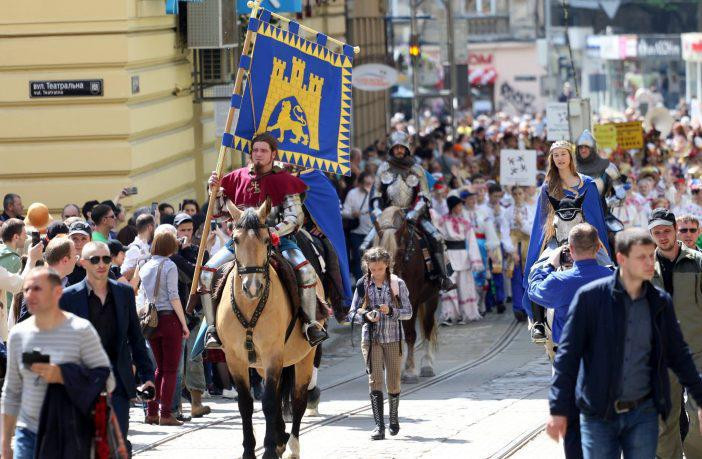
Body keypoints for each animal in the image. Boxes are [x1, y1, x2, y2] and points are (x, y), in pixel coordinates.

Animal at [219, 201, 324, 459]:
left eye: (267, 239)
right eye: (235, 239)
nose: (252, 287)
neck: (250, 307)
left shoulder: (272, 355)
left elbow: (268, 403)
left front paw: (267, 450)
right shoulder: (236, 359)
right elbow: (246, 404)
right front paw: (250, 450)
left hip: (304, 357)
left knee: (298, 399)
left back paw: (292, 446)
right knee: (277, 397)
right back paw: (280, 438)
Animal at [376, 207, 442, 382]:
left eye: (399, 252)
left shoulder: (411, 301)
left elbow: (411, 334)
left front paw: (410, 370)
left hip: (431, 298)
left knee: (427, 327)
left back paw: (427, 365)